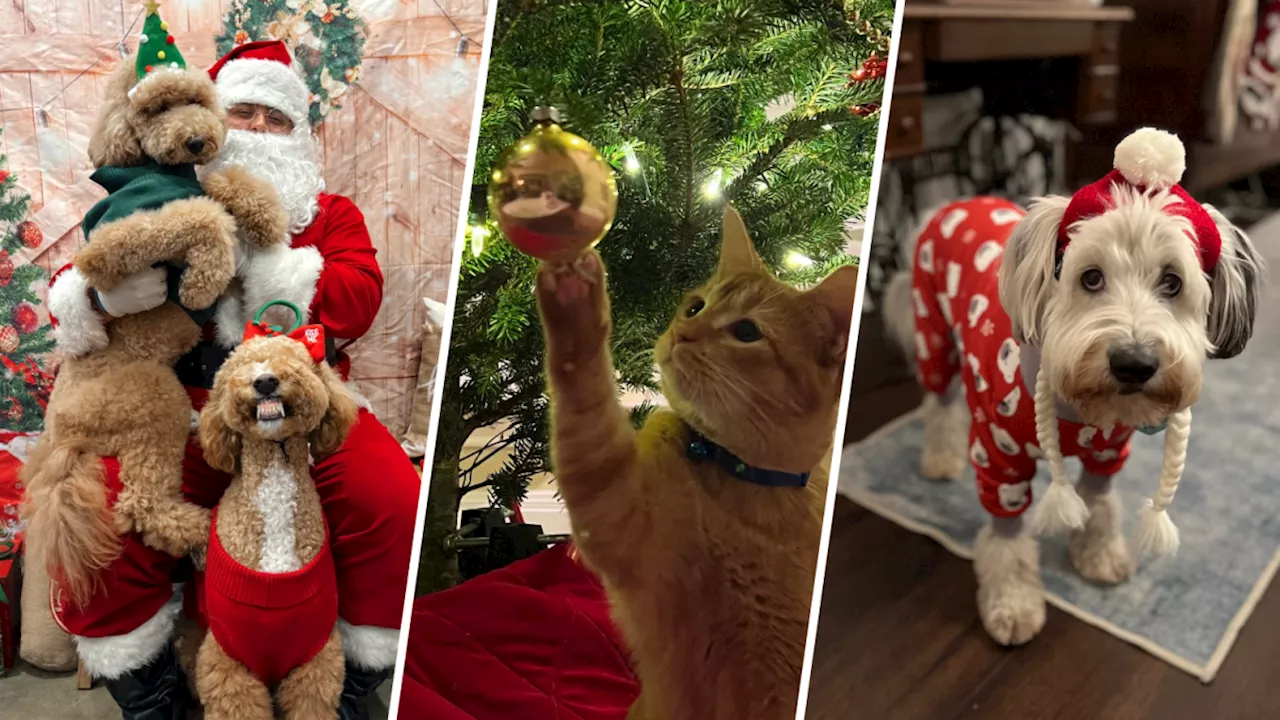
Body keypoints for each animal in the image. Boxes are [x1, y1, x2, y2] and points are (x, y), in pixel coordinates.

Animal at [535, 204, 855, 717]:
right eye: (695, 307)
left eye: (746, 332)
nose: (682, 333)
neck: (734, 478)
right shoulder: (615, 511)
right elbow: (584, 394)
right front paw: (572, 294)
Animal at [885, 127, 1264, 645]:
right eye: (1090, 277)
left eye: (1172, 282)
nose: (1134, 364)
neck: (1081, 412)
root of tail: (950, 203)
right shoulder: (1000, 463)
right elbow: (1007, 542)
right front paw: (1013, 604)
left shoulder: (1109, 453)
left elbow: (1099, 505)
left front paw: (1099, 556)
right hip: (932, 334)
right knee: (939, 402)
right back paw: (941, 459)